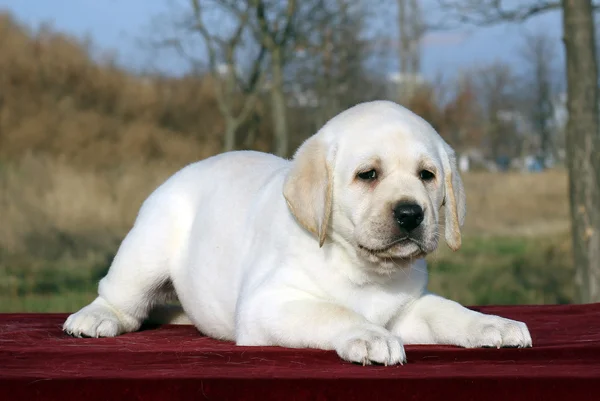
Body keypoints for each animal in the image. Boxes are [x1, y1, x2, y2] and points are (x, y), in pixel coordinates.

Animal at [63, 101, 532, 366]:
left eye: (427, 176)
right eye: (368, 175)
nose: (411, 214)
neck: (363, 268)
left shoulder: (406, 310)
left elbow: (447, 312)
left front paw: (492, 324)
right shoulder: (268, 305)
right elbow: (334, 311)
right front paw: (369, 336)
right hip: (146, 250)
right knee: (119, 296)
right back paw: (95, 318)